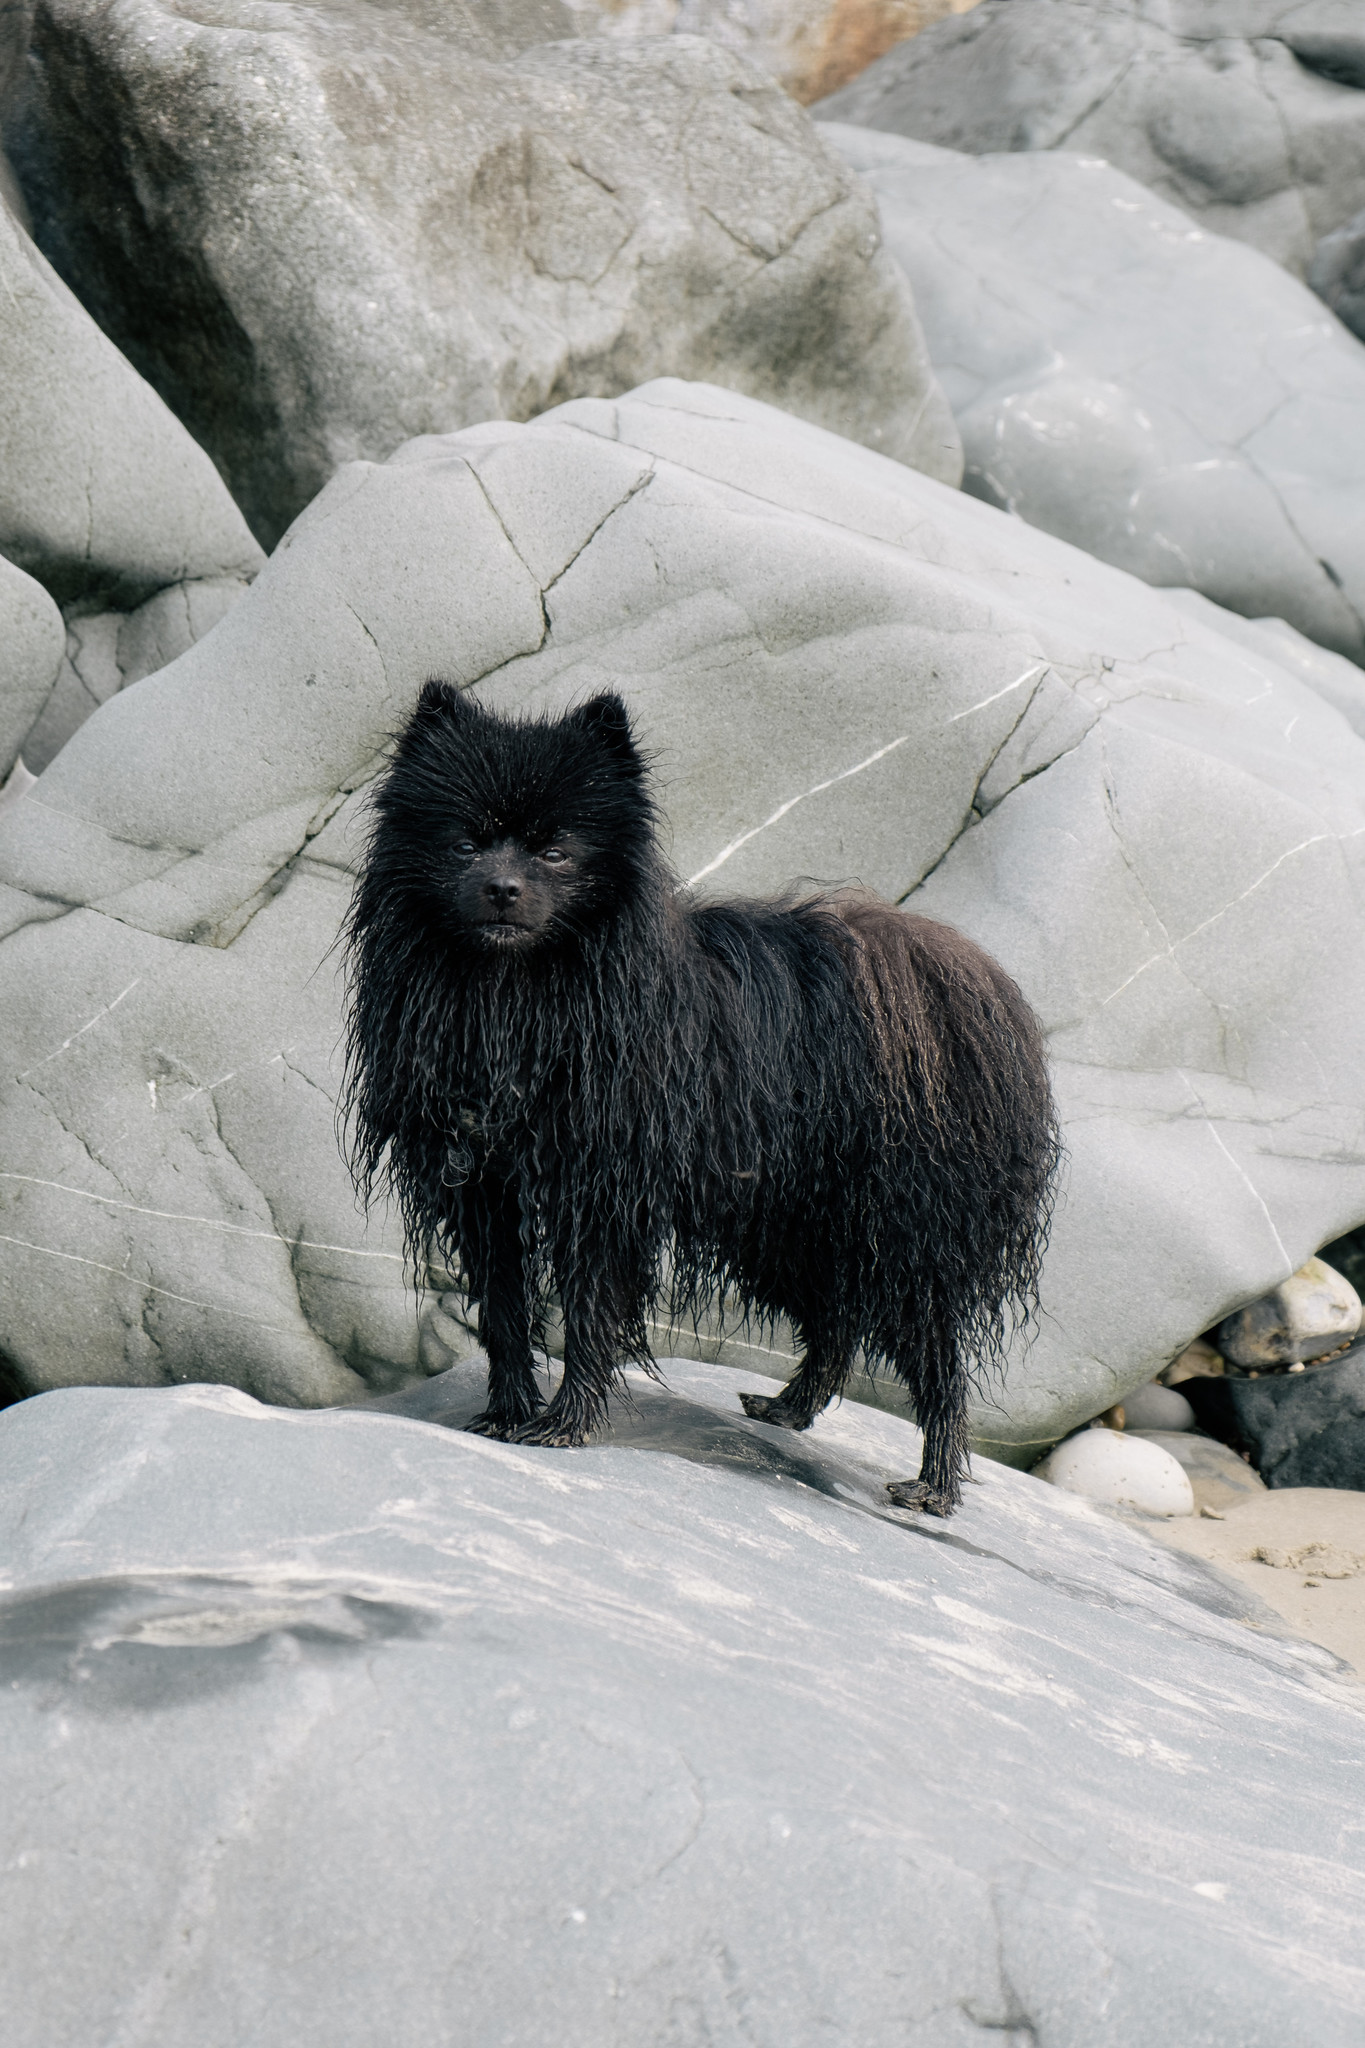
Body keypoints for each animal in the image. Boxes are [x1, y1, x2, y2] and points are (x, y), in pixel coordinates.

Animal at [339, 684, 1055, 1507]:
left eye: (556, 850)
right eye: (465, 843)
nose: (503, 889)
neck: (517, 996)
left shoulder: (603, 1195)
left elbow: (588, 1315)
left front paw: (564, 1424)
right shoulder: (484, 1189)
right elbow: (505, 1313)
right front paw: (508, 1412)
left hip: (894, 1235)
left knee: (935, 1356)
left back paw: (933, 1486)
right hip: (788, 1223)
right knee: (835, 1323)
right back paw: (788, 1408)